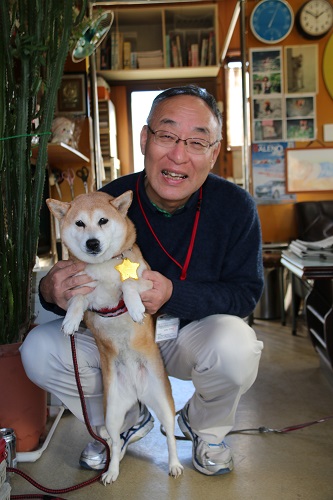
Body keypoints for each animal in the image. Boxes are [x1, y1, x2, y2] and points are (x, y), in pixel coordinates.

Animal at [45, 190, 183, 484]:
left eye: (103, 220)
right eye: (80, 223)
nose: (92, 242)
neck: (103, 267)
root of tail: (136, 389)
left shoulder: (148, 282)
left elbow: (129, 284)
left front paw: (134, 307)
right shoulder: (86, 291)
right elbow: (77, 298)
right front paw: (70, 321)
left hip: (164, 403)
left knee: (170, 436)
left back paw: (175, 465)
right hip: (112, 412)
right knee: (116, 442)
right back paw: (112, 470)